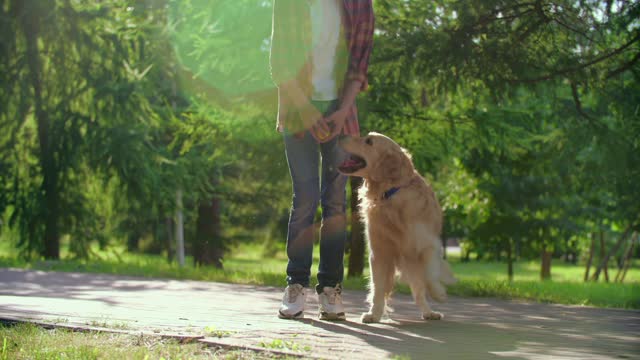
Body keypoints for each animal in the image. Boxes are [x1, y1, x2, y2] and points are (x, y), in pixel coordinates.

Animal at [338, 132, 458, 324]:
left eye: (369, 141)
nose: (340, 135)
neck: (389, 193)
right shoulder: (379, 252)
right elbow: (378, 288)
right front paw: (374, 314)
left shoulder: (428, 244)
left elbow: (430, 274)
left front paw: (438, 293)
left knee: (420, 288)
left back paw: (429, 311)